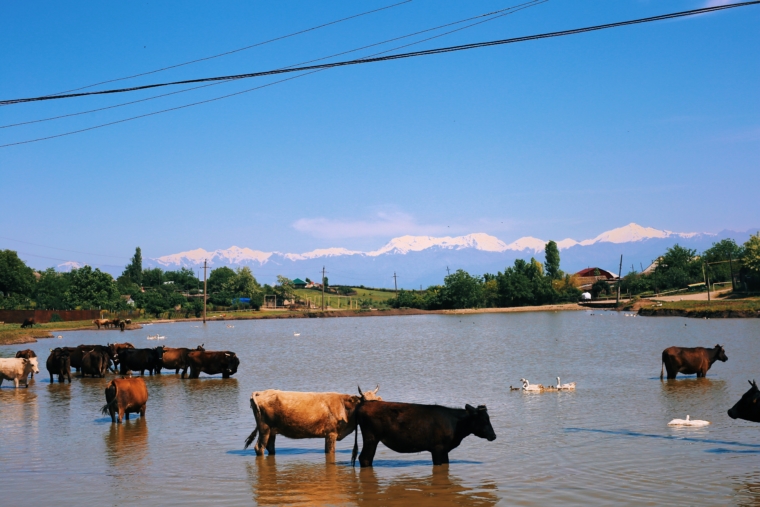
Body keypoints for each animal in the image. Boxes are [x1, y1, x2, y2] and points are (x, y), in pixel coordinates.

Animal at [243, 384, 382, 456]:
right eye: (365, 402)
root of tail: (261, 392)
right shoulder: (331, 433)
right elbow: (330, 451)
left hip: (272, 430)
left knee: (270, 447)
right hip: (264, 428)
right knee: (259, 447)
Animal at [352, 400, 498, 468]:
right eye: (483, 420)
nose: (494, 436)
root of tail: (365, 403)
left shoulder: (444, 450)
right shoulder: (437, 448)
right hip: (371, 438)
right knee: (365, 458)